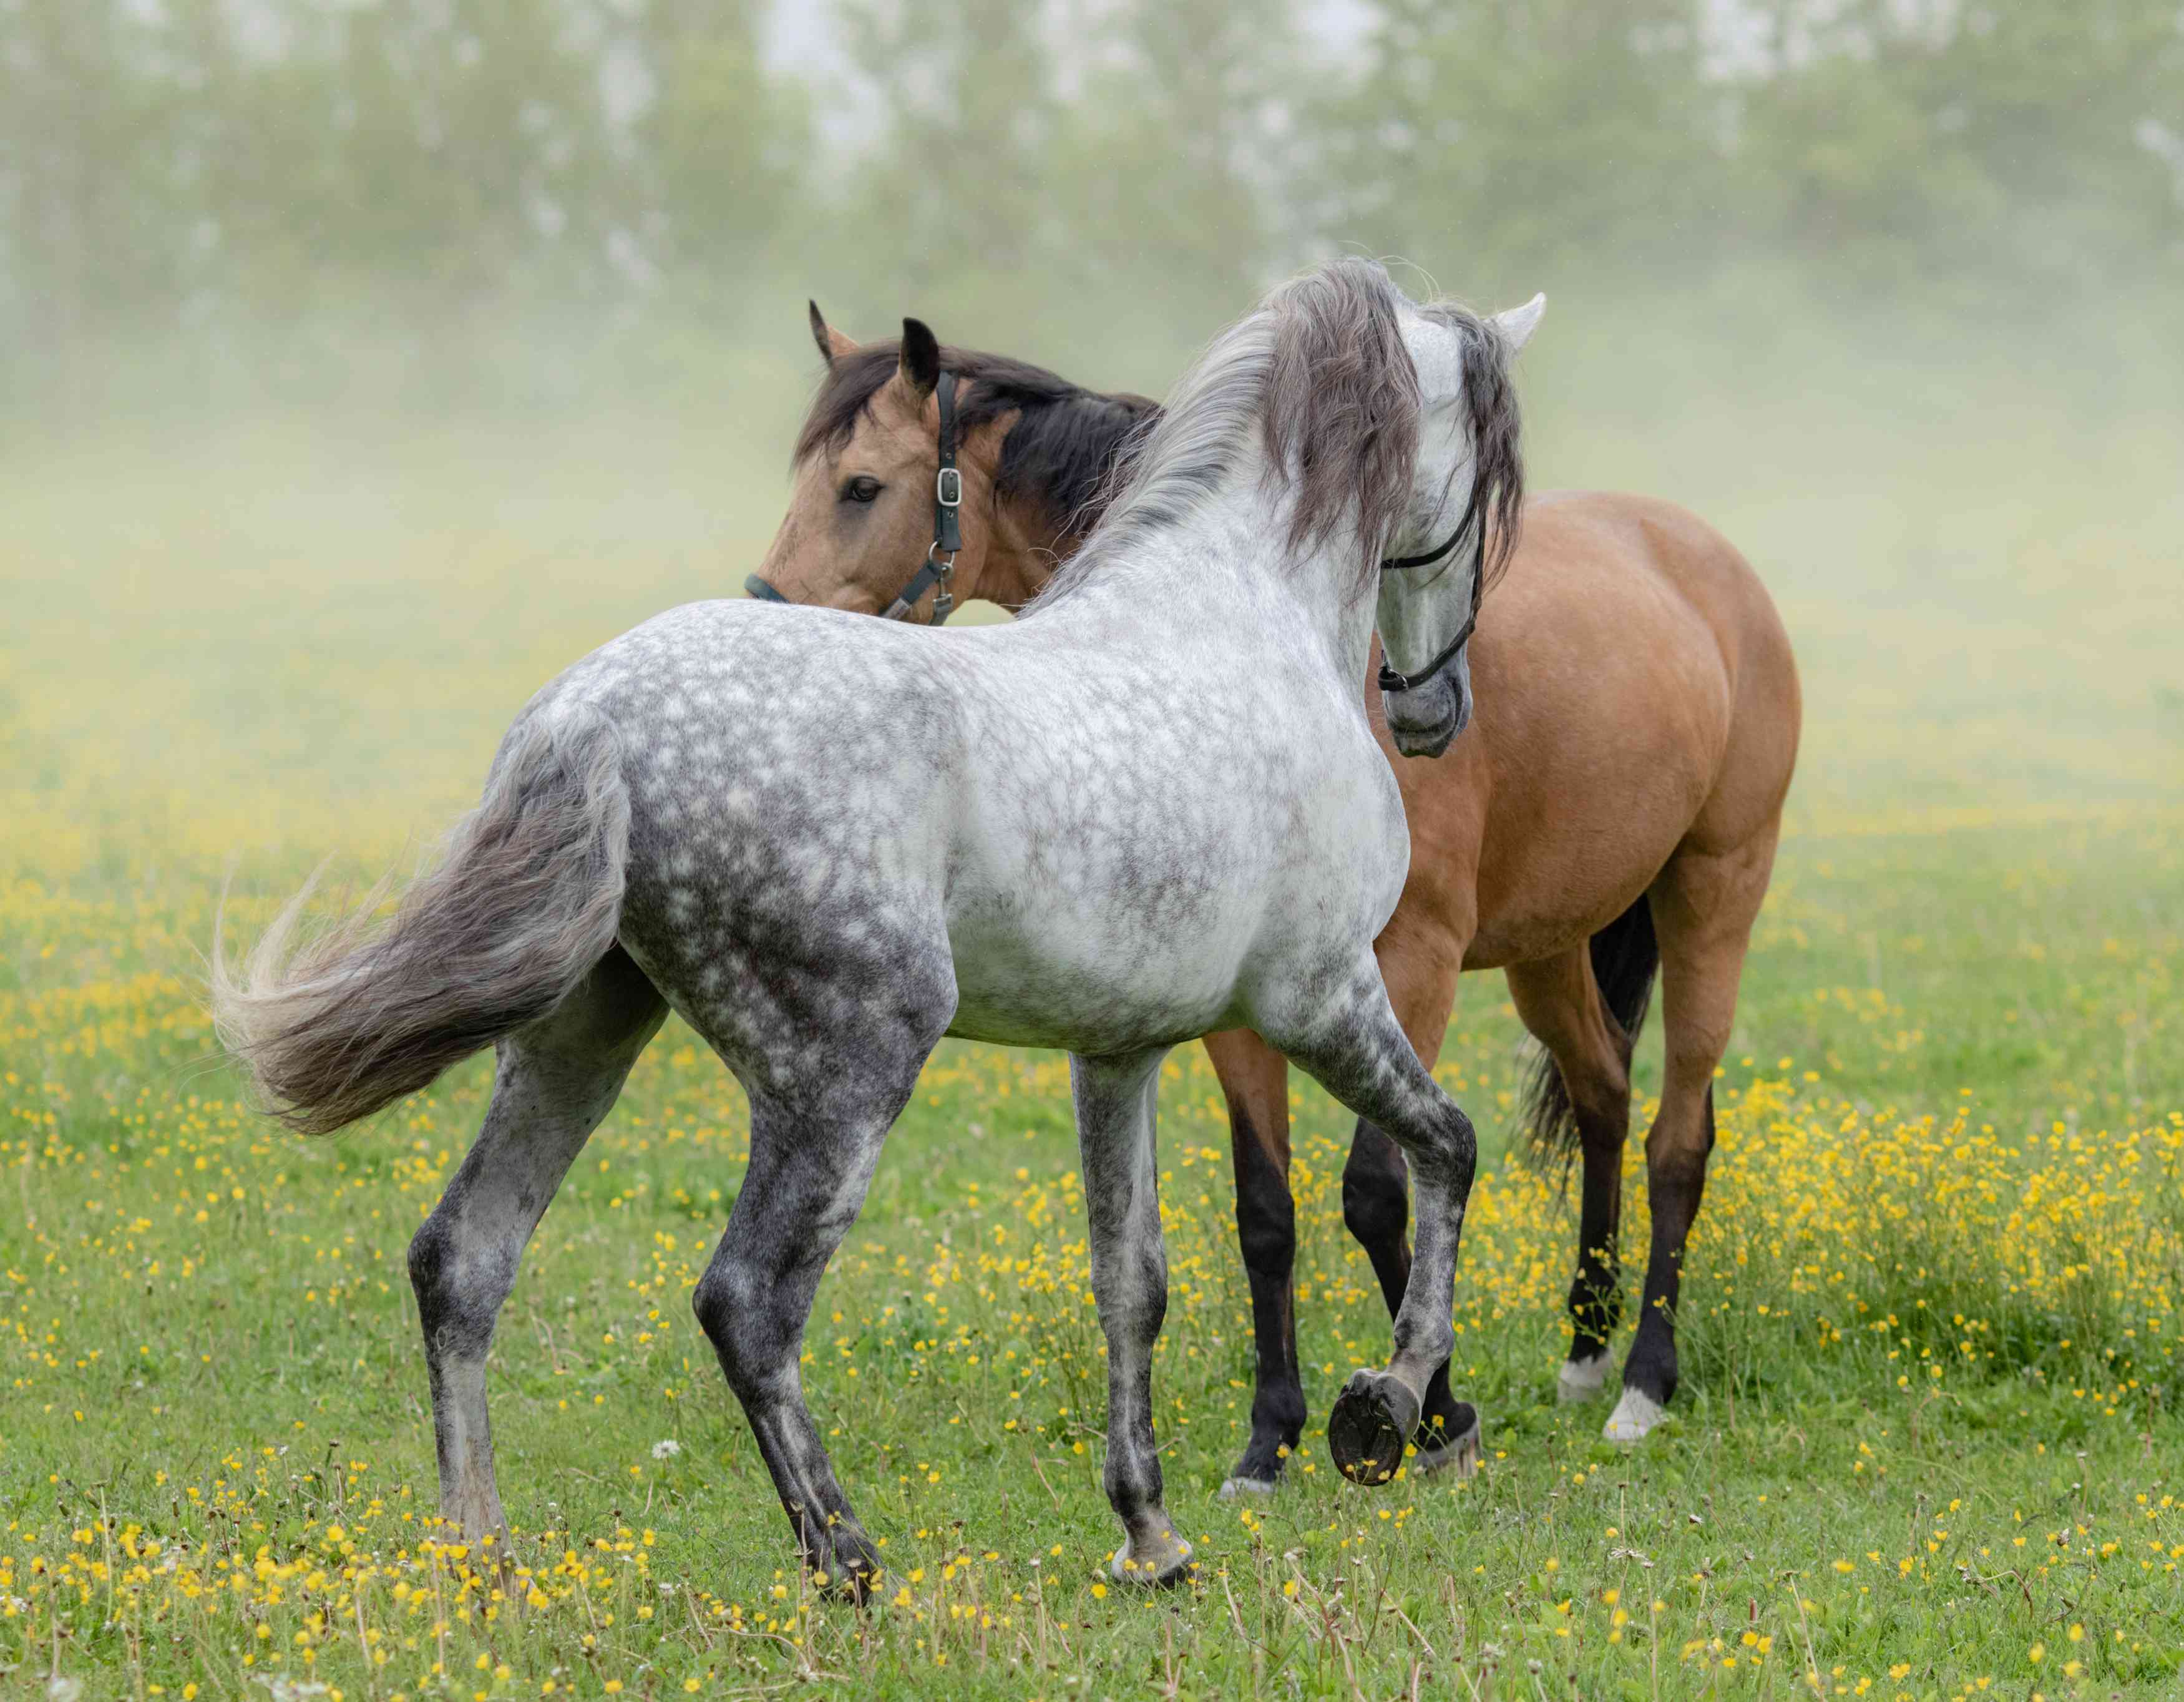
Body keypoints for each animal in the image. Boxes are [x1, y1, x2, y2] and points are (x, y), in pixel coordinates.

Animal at [208, 257, 1538, 1599]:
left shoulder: (1120, 1050)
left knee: (464, 1258)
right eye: (1484, 476)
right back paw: (844, 1556)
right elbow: (1448, 1148)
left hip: (580, 1035)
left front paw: (1149, 1534)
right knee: (745, 1299)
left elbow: (1131, 1282)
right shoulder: (1317, 995)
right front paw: (1388, 1409)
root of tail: (590, 721)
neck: (1243, 613)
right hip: (847, 1068)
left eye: (859, 485)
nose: (1433, 708)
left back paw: (485, 1554)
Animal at [760, 290, 1800, 1477]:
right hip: (1549, 948)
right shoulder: (1239, 1003)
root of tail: (1702, 558)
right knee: (1604, 1096)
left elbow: (1381, 1187)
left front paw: (1433, 1413)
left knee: (1679, 1138)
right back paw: (1585, 1351)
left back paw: (1643, 1381)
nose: (764, 612)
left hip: (1712, 893)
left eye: (860, 486)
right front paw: (1272, 1437)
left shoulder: (1409, 964)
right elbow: (1268, 1210)